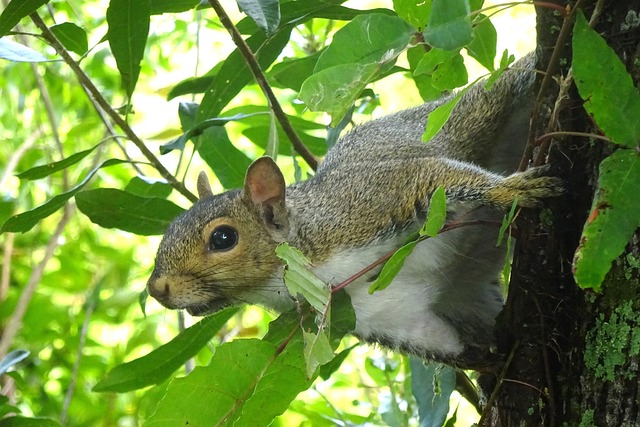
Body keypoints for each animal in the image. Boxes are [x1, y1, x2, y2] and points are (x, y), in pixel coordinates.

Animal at [145, 55, 560, 370]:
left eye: (223, 238)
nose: (156, 290)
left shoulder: (369, 201)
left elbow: (433, 176)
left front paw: (511, 190)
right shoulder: (393, 317)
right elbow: (455, 346)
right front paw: (494, 357)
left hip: (471, 114)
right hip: (463, 300)